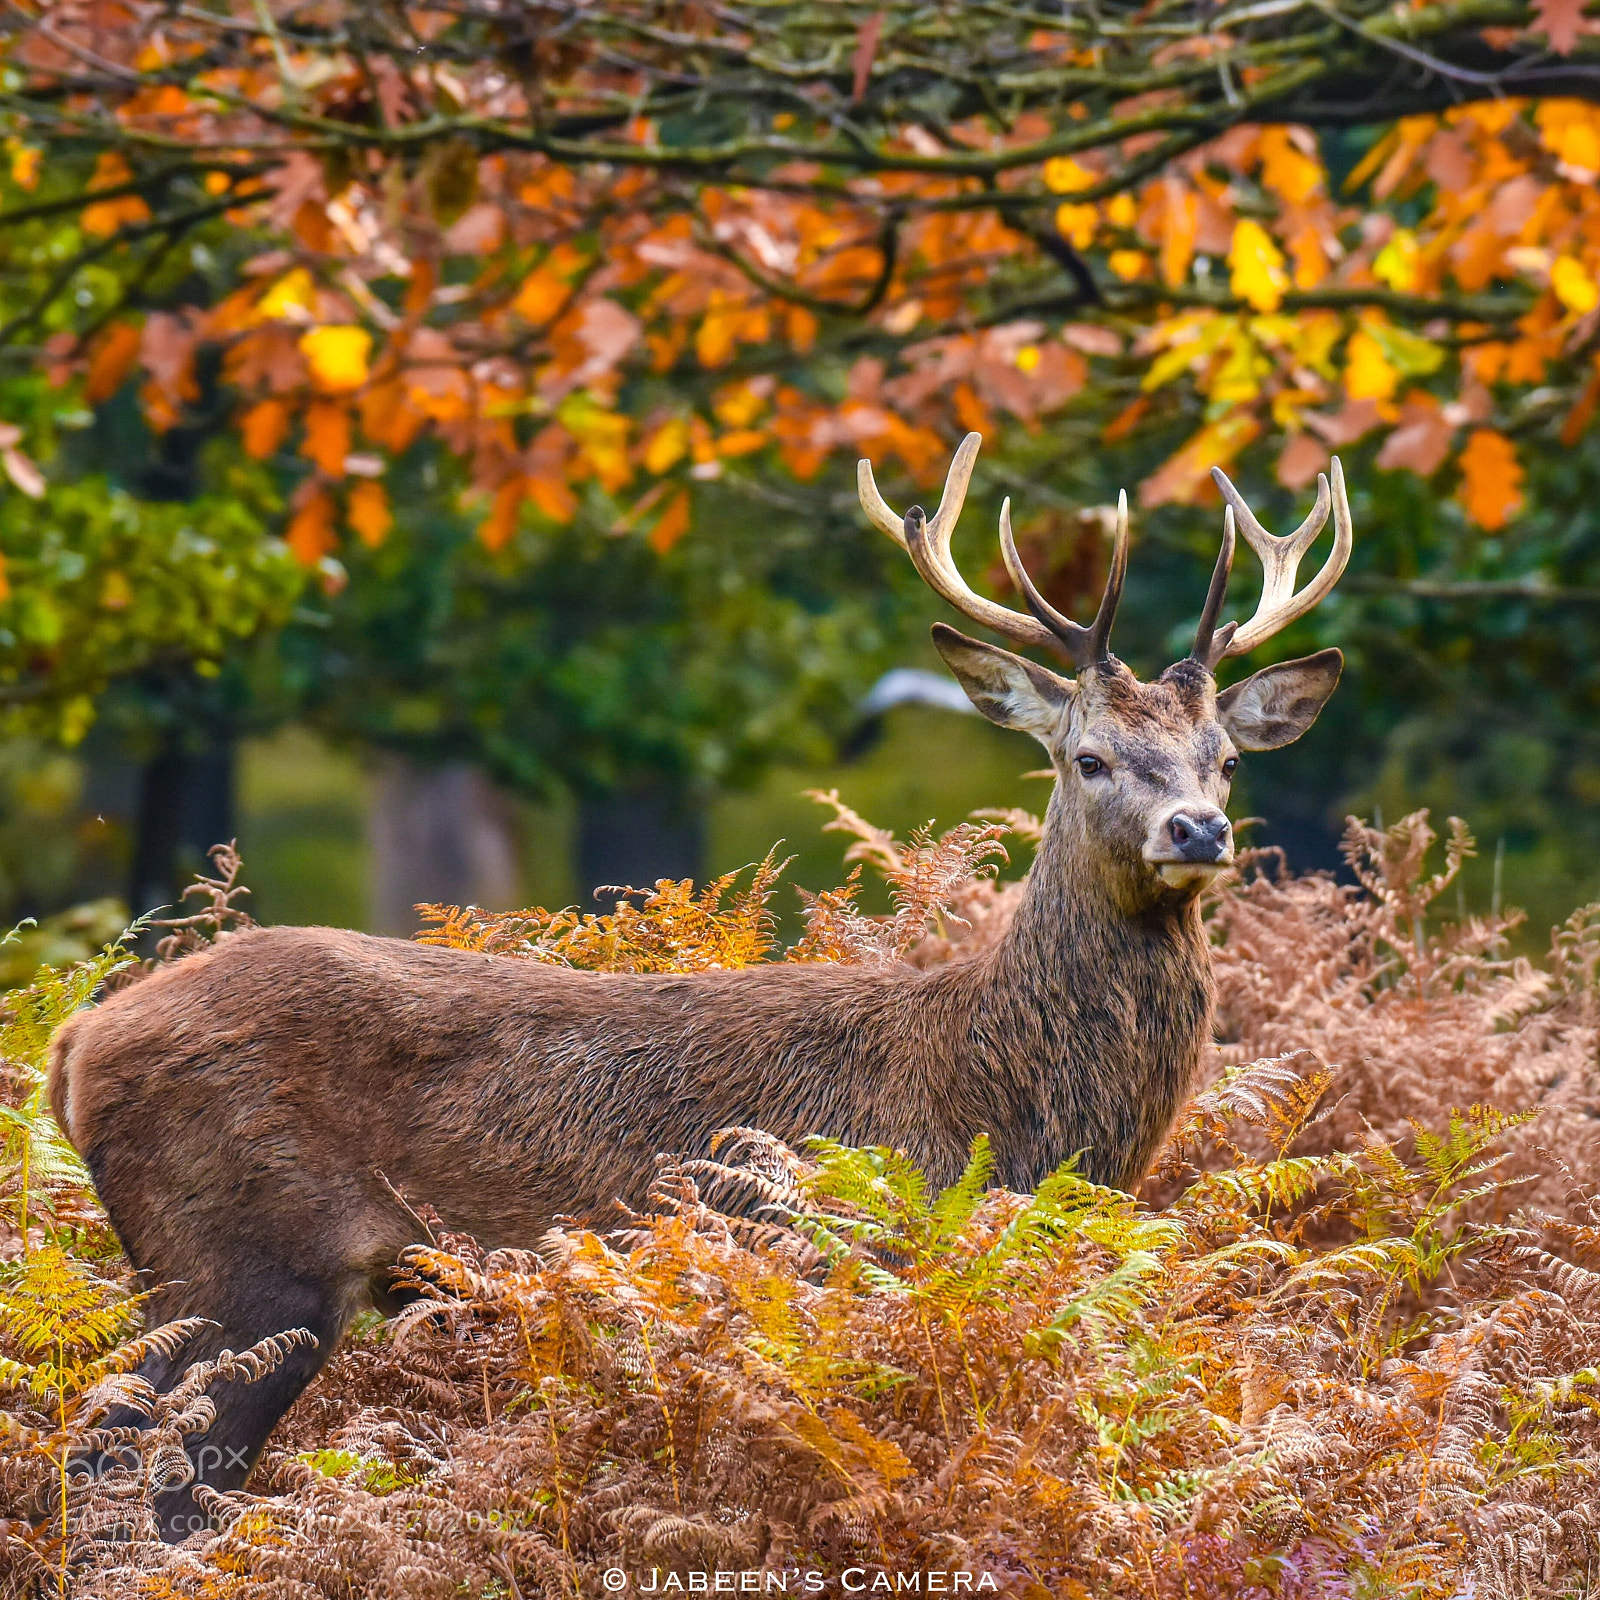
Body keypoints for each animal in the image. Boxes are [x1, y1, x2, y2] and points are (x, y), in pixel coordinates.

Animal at [48, 432, 1351, 1540]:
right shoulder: (840, 1258)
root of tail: (75, 1045)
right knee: (124, 1473)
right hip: (238, 1258)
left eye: (1225, 761)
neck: (1000, 1105)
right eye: (1087, 757)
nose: (1197, 829)